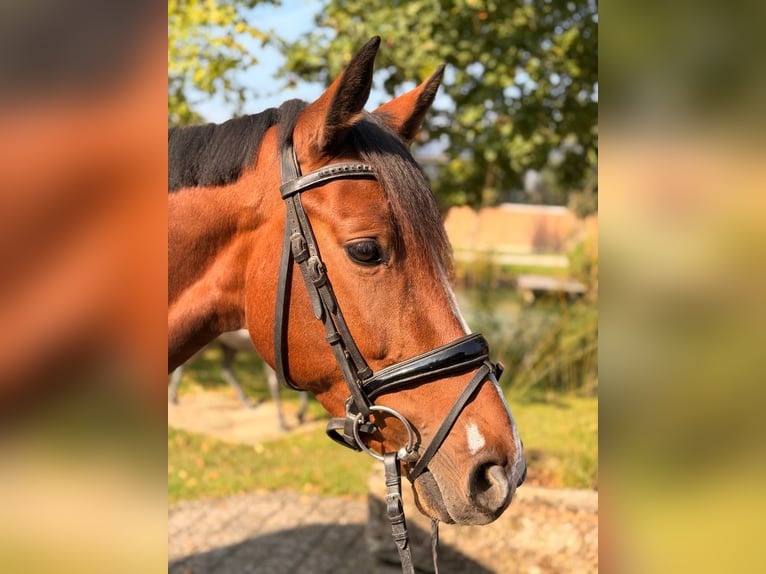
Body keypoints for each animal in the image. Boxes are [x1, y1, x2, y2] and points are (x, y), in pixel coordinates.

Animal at [168, 329, 308, 430]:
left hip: (230, 346)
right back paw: (173, 398)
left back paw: (248, 403)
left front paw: (300, 415)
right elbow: (274, 386)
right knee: (182, 363)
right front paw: (283, 424)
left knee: (225, 369)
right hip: (207, 346)